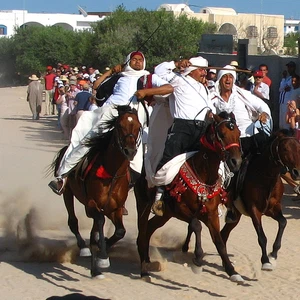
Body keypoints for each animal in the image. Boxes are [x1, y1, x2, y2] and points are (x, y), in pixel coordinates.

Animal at [51, 106, 141, 278]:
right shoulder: (92, 204)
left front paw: (102, 250)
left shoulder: (115, 208)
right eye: (120, 126)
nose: (130, 151)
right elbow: (99, 221)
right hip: (67, 193)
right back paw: (83, 247)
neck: (111, 174)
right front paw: (103, 257)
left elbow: (120, 231)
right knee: (73, 221)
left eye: (139, 127)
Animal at [133, 112, 244, 284]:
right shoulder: (181, 209)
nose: (236, 162)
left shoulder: (211, 215)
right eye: (222, 134)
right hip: (143, 204)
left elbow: (219, 242)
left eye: (238, 134)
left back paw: (148, 259)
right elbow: (196, 225)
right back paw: (144, 270)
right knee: (142, 233)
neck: (204, 176)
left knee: (150, 228)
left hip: (165, 214)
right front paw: (198, 259)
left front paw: (232, 271)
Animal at [220, 130, 300, 270]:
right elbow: (262, 237)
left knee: (223, 234)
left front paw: (273, 254)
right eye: (285, 148)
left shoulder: (273, 208)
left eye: (298, 148)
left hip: (236, 215)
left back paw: (226, 264)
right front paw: (266, 261)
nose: (297, 172)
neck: (264, 176)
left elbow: (283, 222)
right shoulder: (254, 210)